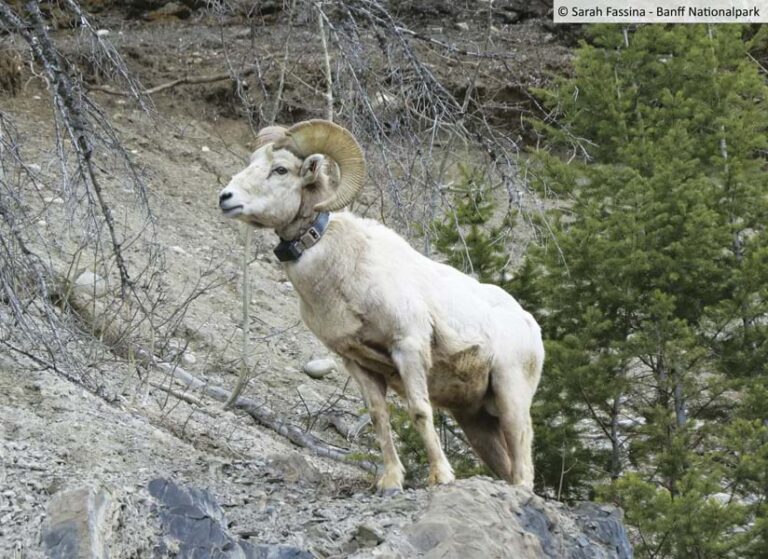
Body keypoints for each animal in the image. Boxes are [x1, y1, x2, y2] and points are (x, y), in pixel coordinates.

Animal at [218, 120, 544, 494]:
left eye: (281, 169)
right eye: (253, 161)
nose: (225, 198)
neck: (344, 273)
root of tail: (530, 324)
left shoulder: (407, 347)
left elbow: (419, 411)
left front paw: (441, 477)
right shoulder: (358, 363)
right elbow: (379, 417)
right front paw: (390, 481)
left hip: (510, 395)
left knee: (523, 459)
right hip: (475, 420)